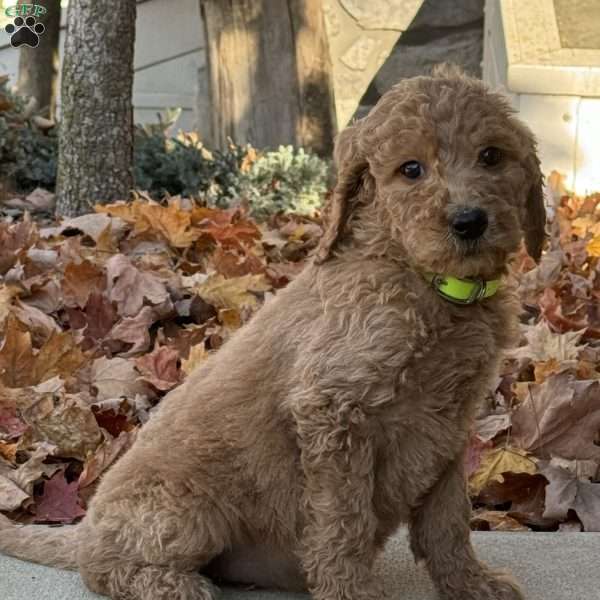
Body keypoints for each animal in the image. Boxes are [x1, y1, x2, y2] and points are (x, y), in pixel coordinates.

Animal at [0, 67, 544, 600]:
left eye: (491, 156)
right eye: (411, 169)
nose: (469, 221)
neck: (427, 282)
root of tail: (84, 525)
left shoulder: (450, 423)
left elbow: (448, 520)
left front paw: (471, 584)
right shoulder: (333, 412)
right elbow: (343, 522)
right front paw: (353, 592)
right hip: (184, 508)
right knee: (100, 566)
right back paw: (170, 584)